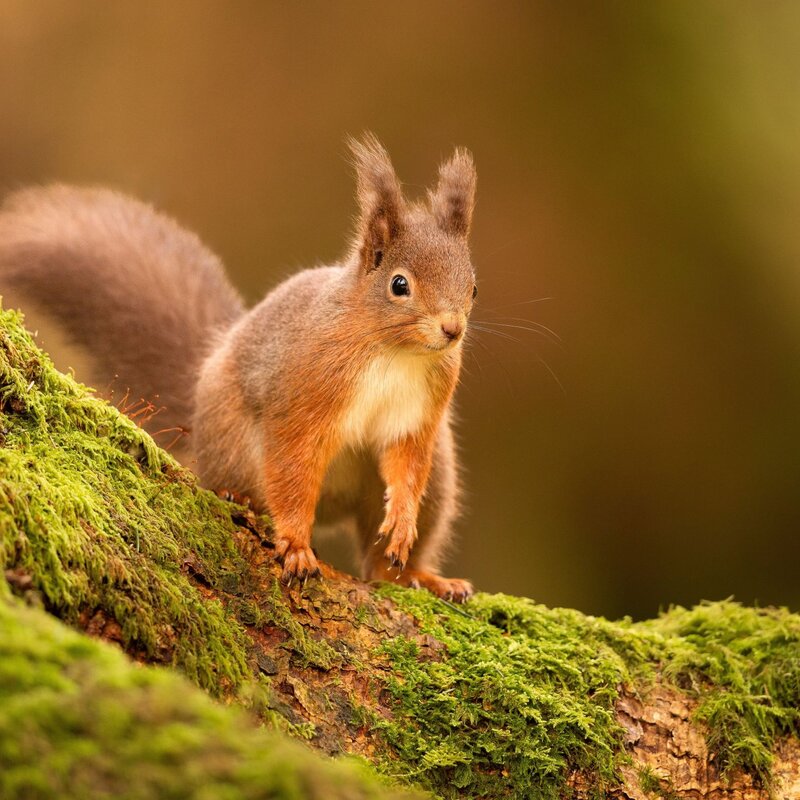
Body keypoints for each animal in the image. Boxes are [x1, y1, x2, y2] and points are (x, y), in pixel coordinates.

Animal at [0, 134, 478, 601]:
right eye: (399, 285)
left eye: (473, 287)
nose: (452, 329)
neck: (394, 351)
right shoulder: (303, 394)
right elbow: (292, 468)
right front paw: (296, 547)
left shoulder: (420, 411)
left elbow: (406, 465)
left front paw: (402, 520)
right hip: (231, 437)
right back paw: (239, 496)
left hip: (439, 472)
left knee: (381, 567)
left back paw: (424, 577)